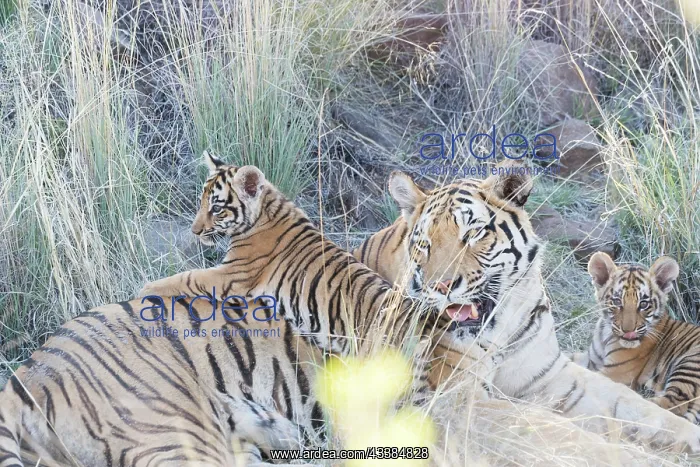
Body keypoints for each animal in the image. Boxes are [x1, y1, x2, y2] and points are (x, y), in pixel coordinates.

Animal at [572, 252, 700, 424]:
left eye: (644, 304)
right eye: (617, 301)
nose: (628, 331)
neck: (605, 336)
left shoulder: (614, 372)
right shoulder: (590, 359)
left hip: (690, 363)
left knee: (671, 405)